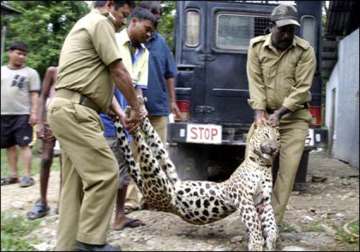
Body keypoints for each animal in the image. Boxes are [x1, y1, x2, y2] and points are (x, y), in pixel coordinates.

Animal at [115, 118, 282, 252]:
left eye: (278, 139)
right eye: (266, 135)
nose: (274, 148)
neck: (262, 164)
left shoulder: (263, 201)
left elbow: (271, 222)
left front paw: (271, 240)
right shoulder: (243, 197)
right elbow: (254, 223)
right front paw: (257, 243)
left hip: (165, 176)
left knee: (155, 146)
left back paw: (133, 115)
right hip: (157, 176)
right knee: (143, 146)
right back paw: (132, 118)